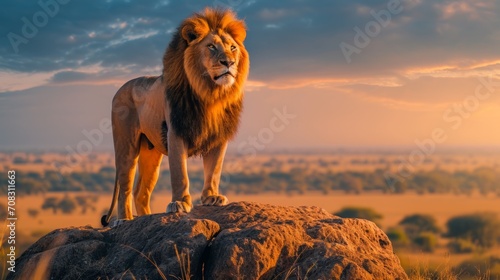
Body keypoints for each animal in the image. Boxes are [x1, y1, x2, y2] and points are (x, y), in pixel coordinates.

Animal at [100, 8, 249, 228]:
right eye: (211, 47)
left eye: (232, 48)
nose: (228, 63)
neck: (210, 95)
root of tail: (120, 89)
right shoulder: (176, 132)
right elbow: (180, 172)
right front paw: (180, 203)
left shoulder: (218, 137)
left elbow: (214, 169)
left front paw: (212, 197)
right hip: (126, 145)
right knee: (125, 187)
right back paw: (123, 220)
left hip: (151, 152)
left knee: (140, 192)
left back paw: (146, 218)